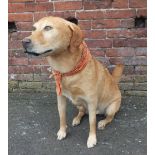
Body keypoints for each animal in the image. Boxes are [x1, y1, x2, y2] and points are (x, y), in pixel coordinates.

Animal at [22, 16, 123, 148]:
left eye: (48, 28)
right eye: (33, 29)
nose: (23, 42)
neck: (66, 71)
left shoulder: (91, 101)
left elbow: (91, 122)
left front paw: (92, 138)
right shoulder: (60, 97)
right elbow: (62, 116)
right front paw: (62, 131)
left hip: (111, 107)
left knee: (109, 117)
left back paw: (102, 122)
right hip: (77, 102)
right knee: (82, 111)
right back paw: (77, 119)